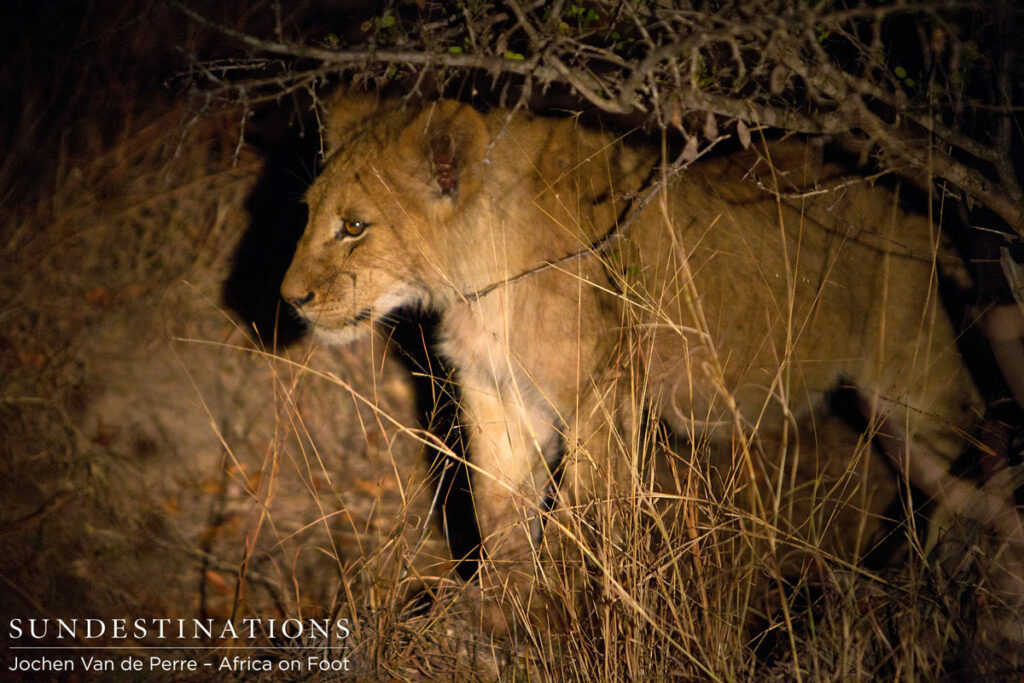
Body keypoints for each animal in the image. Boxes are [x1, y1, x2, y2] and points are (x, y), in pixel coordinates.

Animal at [280, 93, 980, 630]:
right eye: (310, 213)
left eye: (355, 226)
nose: (291, 299)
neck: (471, 277)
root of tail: (916, 211)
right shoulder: (496, 390)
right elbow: (498, 506)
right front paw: (499, 604)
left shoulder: (604, 390)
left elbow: (581, 509)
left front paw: (555, 610)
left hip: (914, 378)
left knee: (970, 454)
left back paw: (941, 573)